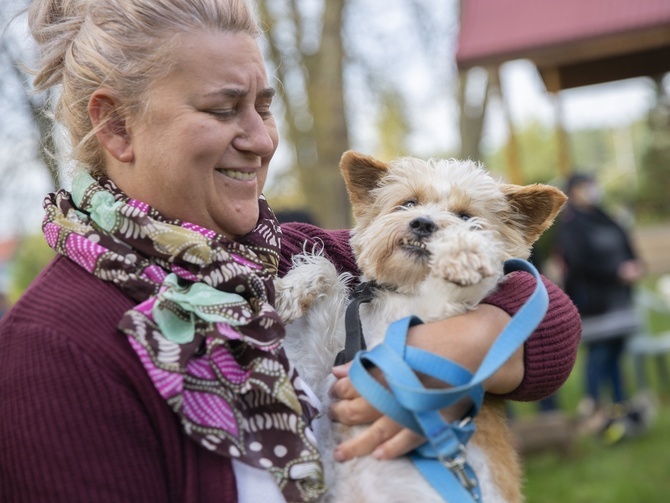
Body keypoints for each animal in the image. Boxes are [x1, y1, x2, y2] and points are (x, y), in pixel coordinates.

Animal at [276, 152, 568, 502]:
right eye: (409, 203)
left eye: (466, 217)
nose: (423, 223)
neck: (405, 294)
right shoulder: (323, 371)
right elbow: (326, 269)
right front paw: (291, 290)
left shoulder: (440, 312)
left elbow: (452, 288)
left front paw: (464, 255)